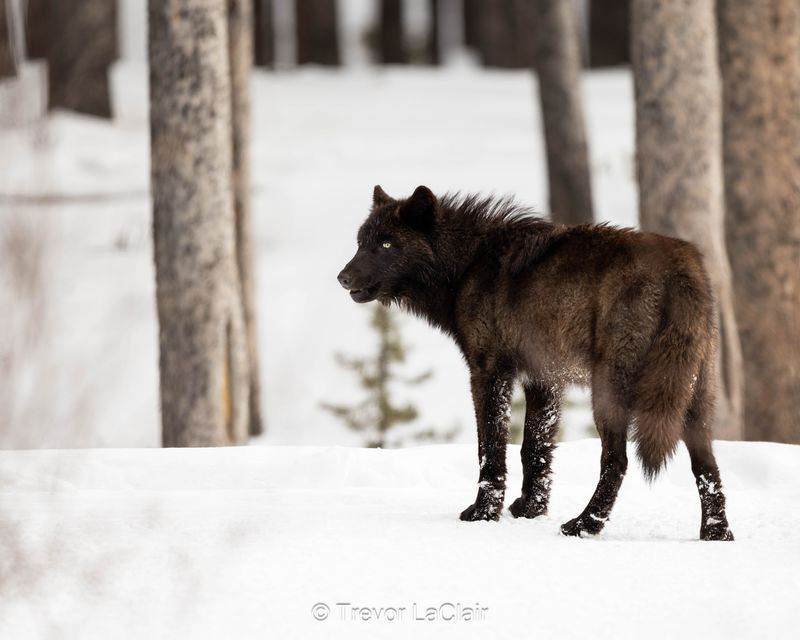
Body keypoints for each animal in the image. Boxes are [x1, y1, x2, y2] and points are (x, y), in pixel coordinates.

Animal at [334, 185, 736, 540]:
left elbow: (490, 449)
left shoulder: (488, 372)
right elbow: (534, 449)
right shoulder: (544, 379)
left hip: (609, 395)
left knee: (617, 462)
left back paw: (584, 525)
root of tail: (680, 265)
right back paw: (716, 533)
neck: (468, 267)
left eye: (387, 244)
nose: (342, 277)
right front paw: (531, 509)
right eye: (361, 242)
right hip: (693, 399)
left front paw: (483, 513)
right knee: (707, 467)